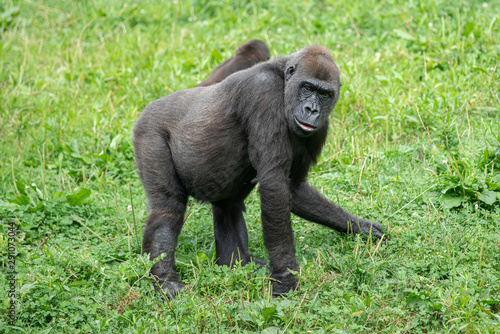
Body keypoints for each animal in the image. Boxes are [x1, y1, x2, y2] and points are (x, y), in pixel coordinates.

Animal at [132, 45, 382, 298]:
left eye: (325, 94)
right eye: (307, 88)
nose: (311, 109)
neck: (284, 80)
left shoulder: (320, 127)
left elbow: (293, 188)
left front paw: (360, 226)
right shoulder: (264, 92)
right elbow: (274, 183)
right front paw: (285, 278)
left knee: (228, 208)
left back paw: (238, 264)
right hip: (149, 132)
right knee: (167, 206)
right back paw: (165, 280)